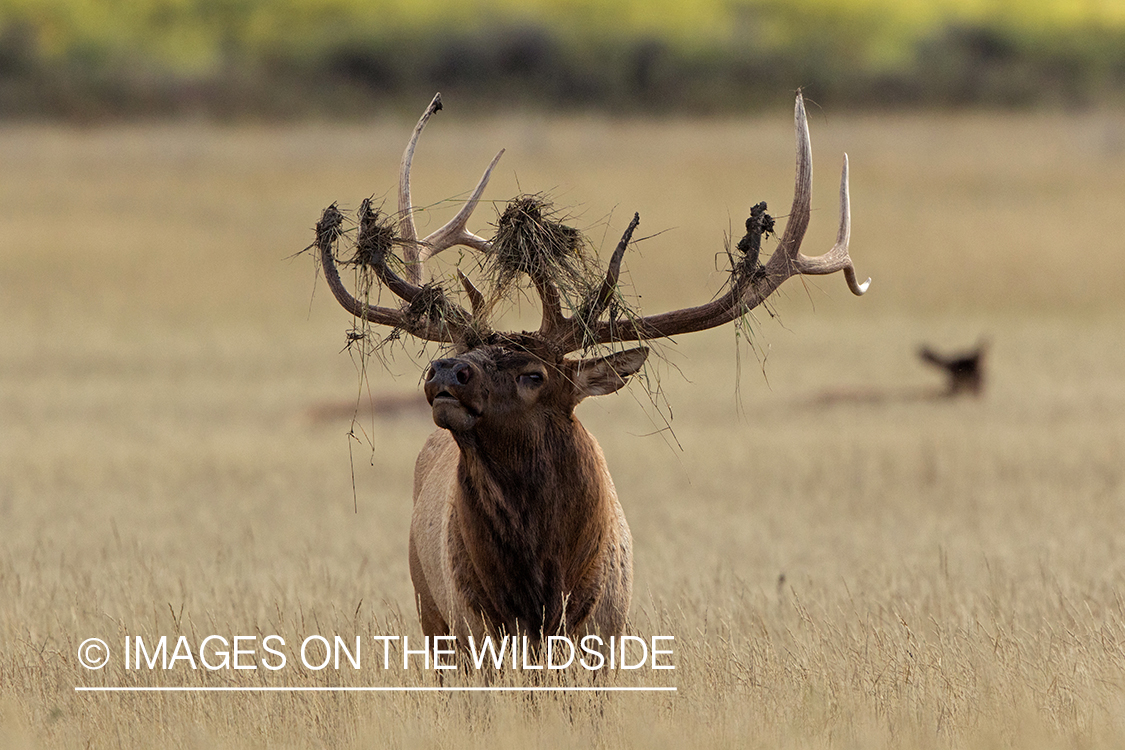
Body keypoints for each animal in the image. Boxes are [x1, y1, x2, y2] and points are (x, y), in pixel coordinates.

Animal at [310, 92, 868, 647]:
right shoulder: (476, 626)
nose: (445, 370)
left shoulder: (603, 627)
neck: (541, 581)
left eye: (534, 374)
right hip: (432, 612)